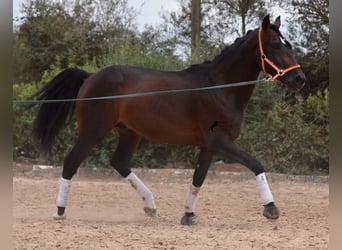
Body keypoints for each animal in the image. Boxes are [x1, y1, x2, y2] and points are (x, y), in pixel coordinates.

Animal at [31, 15, 304, 226]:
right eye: (274, 44)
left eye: (288, 45)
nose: (300, 79)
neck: (220, 88)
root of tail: (90, 77)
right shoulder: (219, 142)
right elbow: (255, 164)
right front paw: (271, 208)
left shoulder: (209, 146)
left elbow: (198, 178)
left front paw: (188, 215)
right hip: (93, 130)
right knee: (71, 162)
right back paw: (60, 211)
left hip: (129, 132)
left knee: (119, 162)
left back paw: (150, 206)